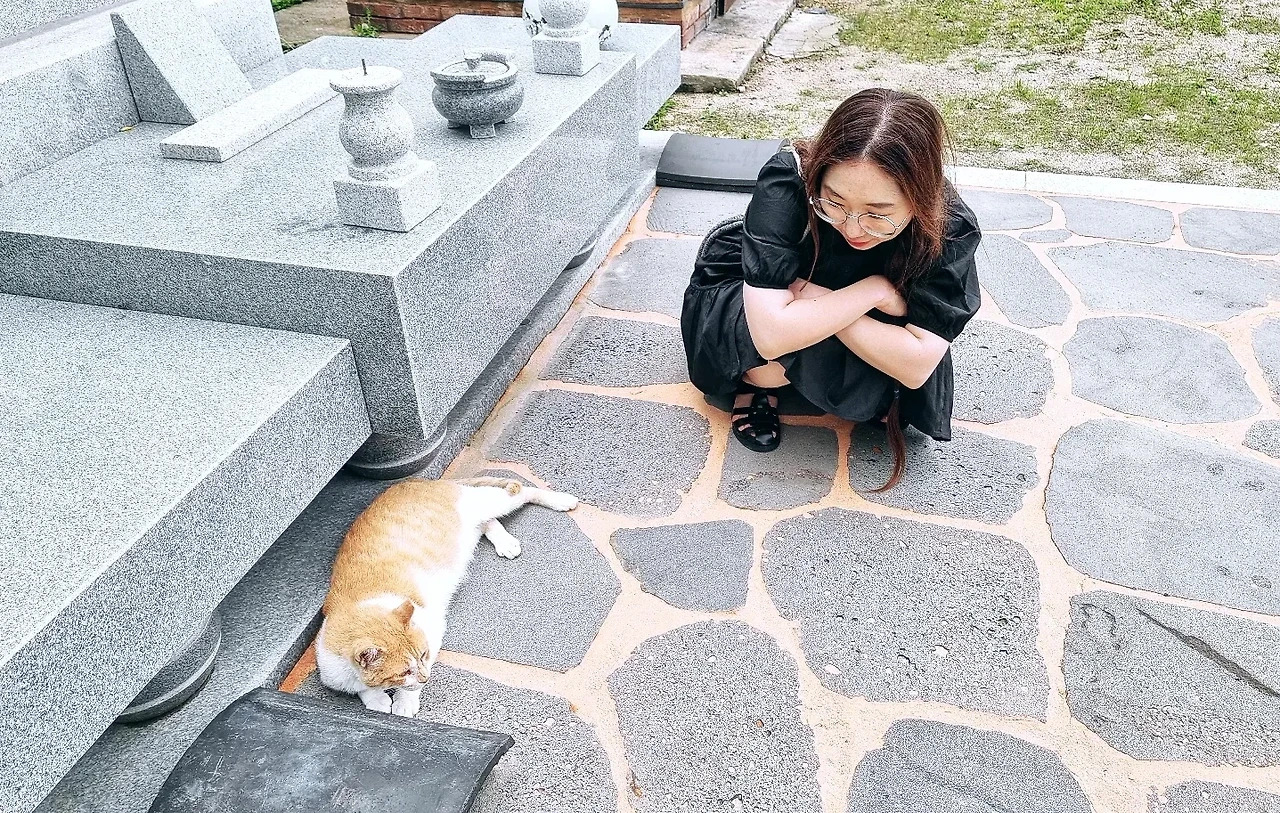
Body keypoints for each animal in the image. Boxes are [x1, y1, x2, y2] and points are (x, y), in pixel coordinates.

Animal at [315, 475, 578, 717]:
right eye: (403, 672)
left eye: (423, 655)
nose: (425, 678)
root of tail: (422, 481)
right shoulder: (332, 669)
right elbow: (362, 688)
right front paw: (375, 698)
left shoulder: (432, 630)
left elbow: (408, 689)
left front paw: (403, 702)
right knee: (487, 521)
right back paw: (504, 541)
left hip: (485, 501)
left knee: (520, 491)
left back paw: (561, 500)